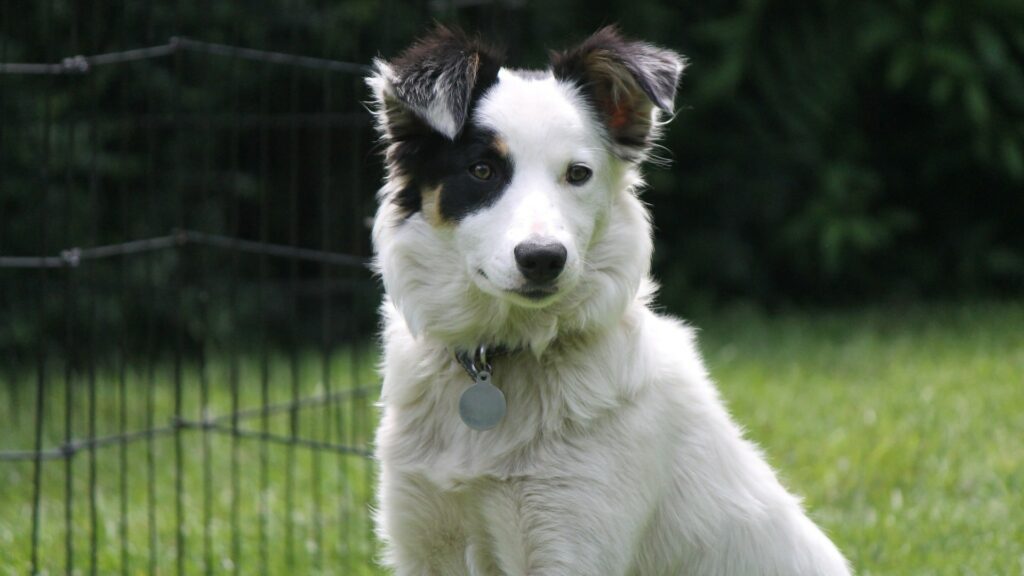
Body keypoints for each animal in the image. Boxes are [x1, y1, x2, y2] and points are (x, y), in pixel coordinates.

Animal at [366, 24, 847, 569]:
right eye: (482, 170)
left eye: (578, 173)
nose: (542, 258)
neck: (502, 355)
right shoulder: (426, 540)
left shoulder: (570, 541)